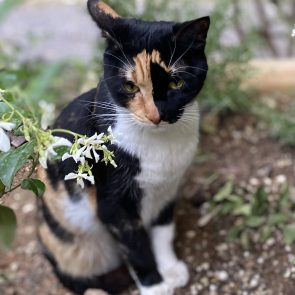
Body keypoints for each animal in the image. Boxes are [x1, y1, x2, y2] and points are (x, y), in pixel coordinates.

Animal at [38, 0, 210, 295]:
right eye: (130, 86)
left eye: (176, 82)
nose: (156, 115)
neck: (159, 143)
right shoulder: (113, 205)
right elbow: (136, 246)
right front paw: (155, 285)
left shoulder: (168, 189)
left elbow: (163, 231)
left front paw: (169, 269)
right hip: (64, 240)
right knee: (69, 274)